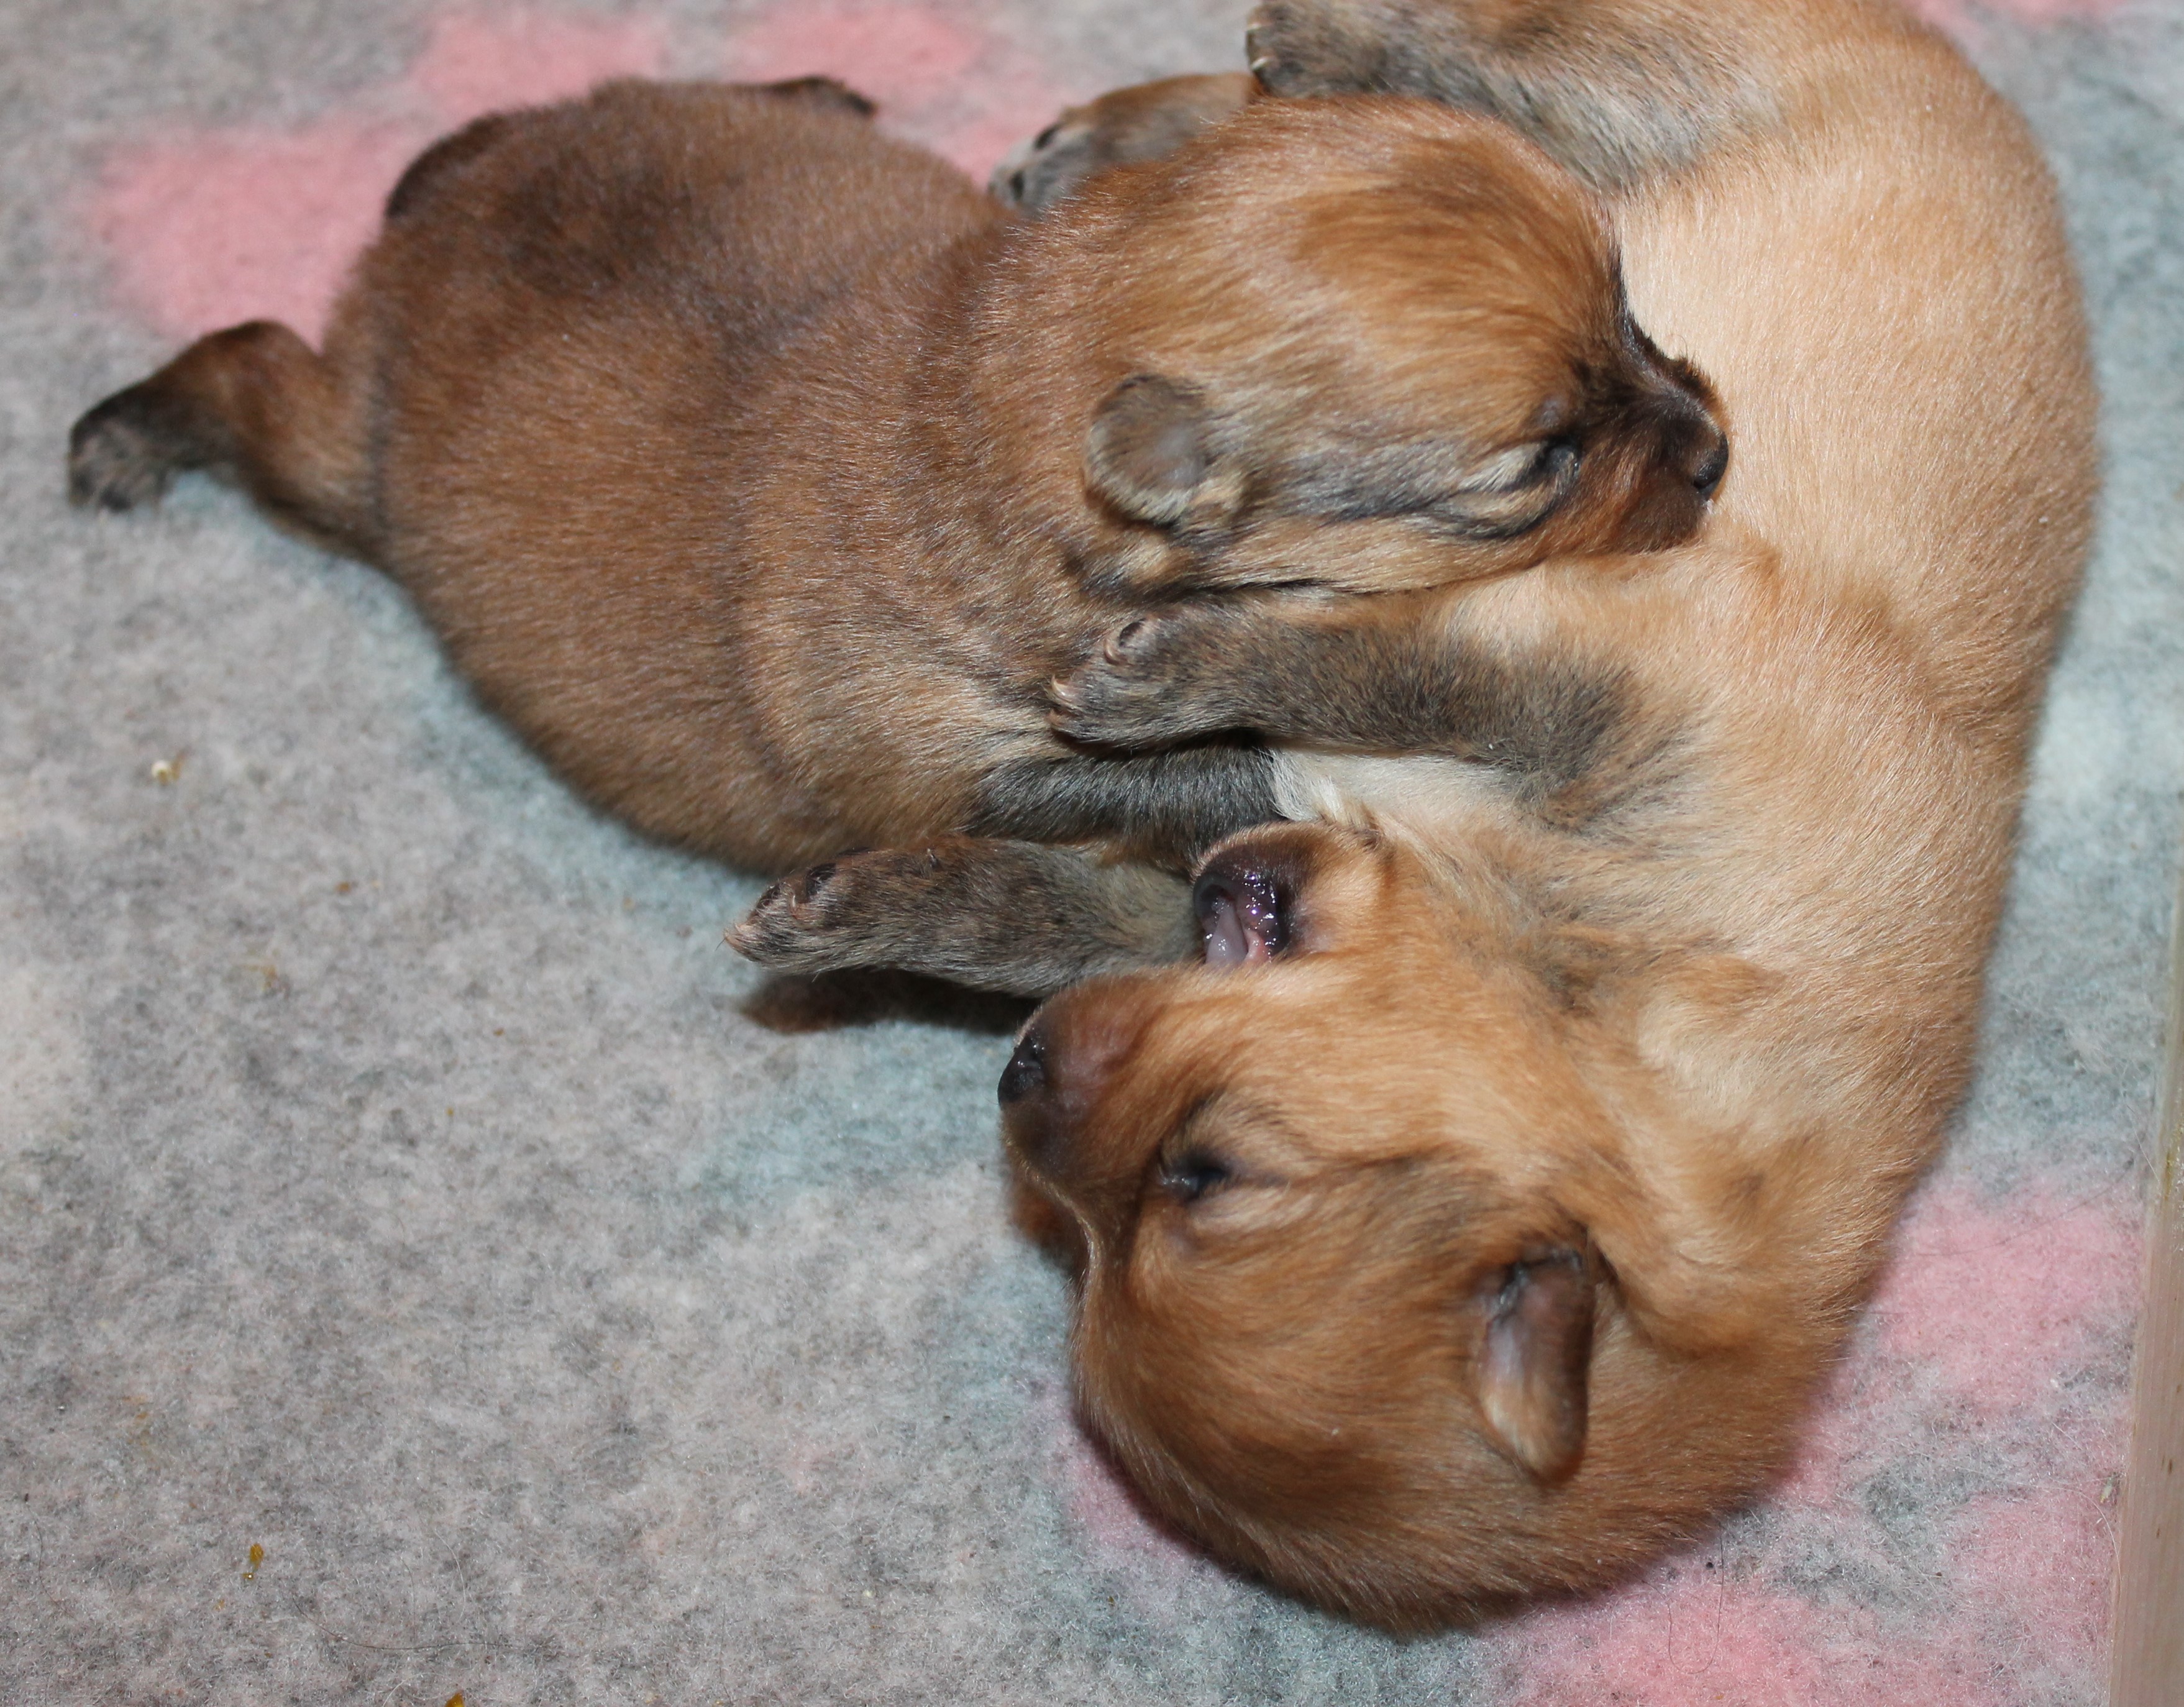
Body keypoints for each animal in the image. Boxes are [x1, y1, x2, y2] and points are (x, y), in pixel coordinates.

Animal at [63, 73, 1720, 995]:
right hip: (343, 454)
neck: (984, 393)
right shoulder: (953, 757)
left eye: (1631, 301)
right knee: (249, 368)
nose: (1715, 448)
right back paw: (130, 434)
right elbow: (1193, 764)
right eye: (1543, 464)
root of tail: (459, 194)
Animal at [742, 0, 2105, 1632]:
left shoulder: (1419, 755)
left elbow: (1181, 797)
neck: (1572, 968)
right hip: (1680, 95)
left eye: (1194, 1181)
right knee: (1473, 70)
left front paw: (986, 815)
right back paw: (1226, 88)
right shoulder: (1604, 685)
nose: (1014, 1076)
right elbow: (1363, 679)